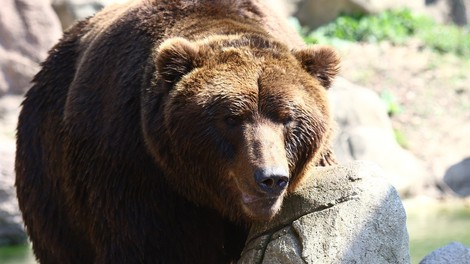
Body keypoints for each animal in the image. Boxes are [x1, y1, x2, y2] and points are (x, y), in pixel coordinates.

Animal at [14, 1, 338, 262]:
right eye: (231, 118)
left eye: (287, 118)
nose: (271, 178)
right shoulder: (134, 169)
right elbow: (150, 246)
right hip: (50, 177)